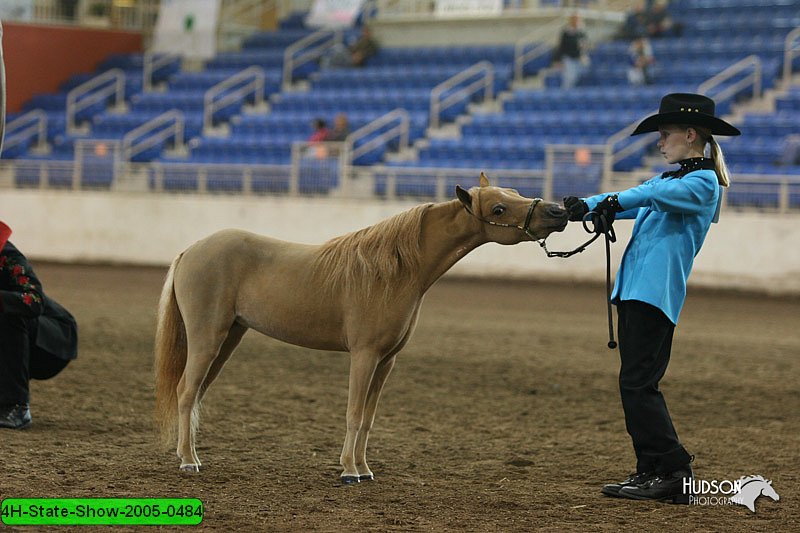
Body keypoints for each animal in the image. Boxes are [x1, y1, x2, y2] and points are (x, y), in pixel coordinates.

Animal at [155, 175, 568, 482]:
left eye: (515, 191)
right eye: (499, 208)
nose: (558, 210)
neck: (395, 272)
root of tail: (192, 250)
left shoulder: (387, 361)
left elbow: (368, 419)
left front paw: (365, 469)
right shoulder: (364, 355)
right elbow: (354, 414)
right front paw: (349, 471)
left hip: (228, 339)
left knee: (195, 393)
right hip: (208, 339)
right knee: (186, 391)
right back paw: (189, 462)